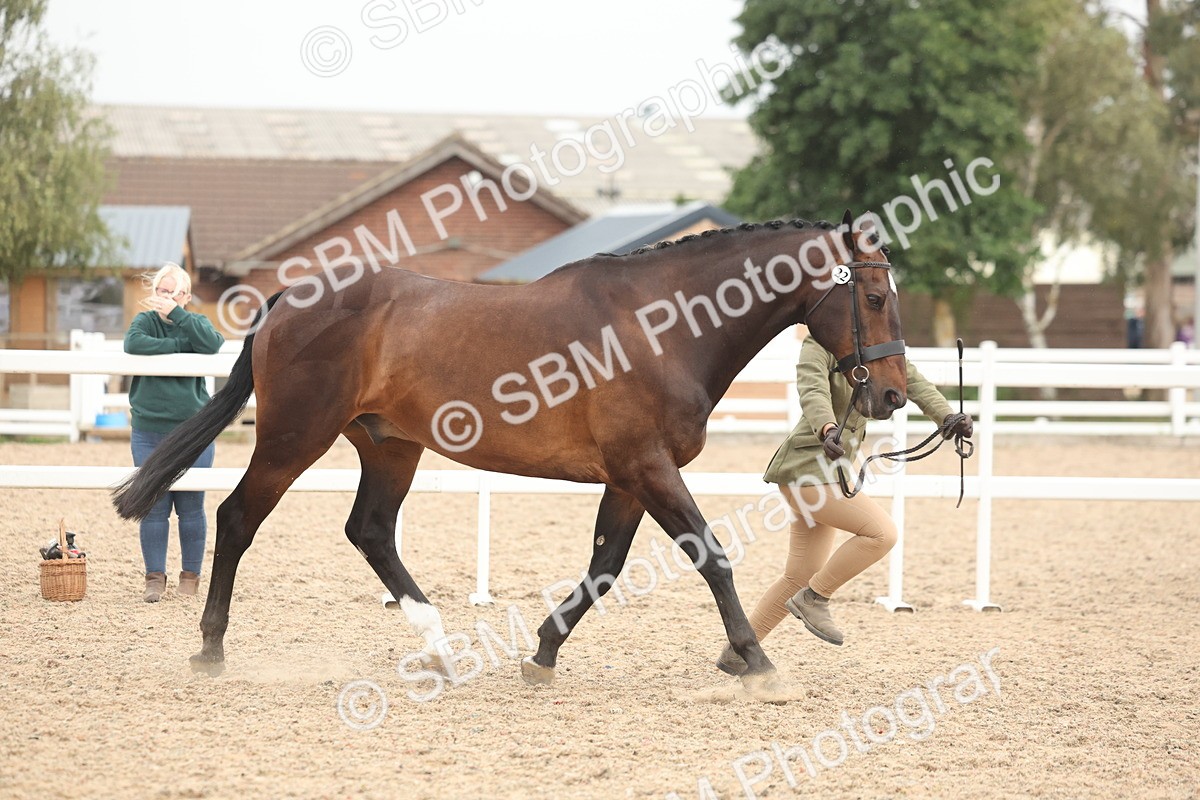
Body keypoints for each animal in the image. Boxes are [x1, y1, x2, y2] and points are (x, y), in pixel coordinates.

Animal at [112, 210, 907, 692]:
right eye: (872, 298)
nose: (894, 395)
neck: (663, 327)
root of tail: (288, 300)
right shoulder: (648, 468)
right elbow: (710, 557)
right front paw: (759, 662)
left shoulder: (630, 478)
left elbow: (605, 567)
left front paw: (543, 654)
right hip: (292, 437)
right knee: (238, 519)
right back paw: (211, 649)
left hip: (390, 447)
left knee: (370, 531)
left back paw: (439, 649)